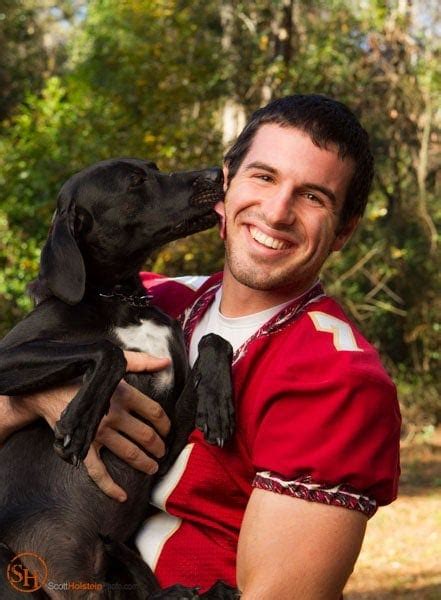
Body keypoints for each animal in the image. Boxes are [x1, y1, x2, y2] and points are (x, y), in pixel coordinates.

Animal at [0, 159, 237, 600]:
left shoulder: (162, 439)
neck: (123, 300)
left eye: (154, 168)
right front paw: (79, 422)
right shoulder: (7, 354)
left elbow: (215, 340)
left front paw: (217, 404)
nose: (218, 173)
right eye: (135, 181)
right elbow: (109, 352)